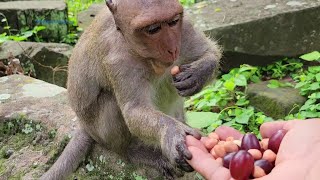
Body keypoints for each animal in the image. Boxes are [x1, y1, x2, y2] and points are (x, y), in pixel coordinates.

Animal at [40, 0, 222, 179]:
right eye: (153, 29)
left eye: (173, 22)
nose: (172, 49)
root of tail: (84, 126)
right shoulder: (120, 60)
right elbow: (134, 110)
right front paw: (172, 132)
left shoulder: (185, 28)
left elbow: (211, 52)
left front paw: (199, 73)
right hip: (99, 130)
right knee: (112, 103)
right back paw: (134, 151)